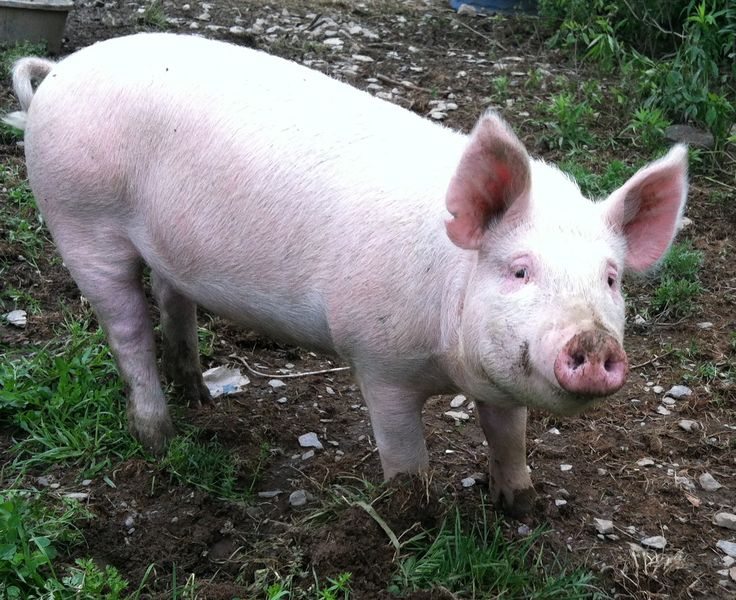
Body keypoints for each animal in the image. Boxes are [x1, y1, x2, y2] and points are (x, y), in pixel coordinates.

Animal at [5, 34, 688, 516]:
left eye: (610, 279)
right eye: (519, 270)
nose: (593, 340)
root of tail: (58, 72)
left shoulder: (500, 380)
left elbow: (509, 436)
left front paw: (523, 509)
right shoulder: (378, 359)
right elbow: (404, 456)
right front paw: (414, 522)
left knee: (173, 299)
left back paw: (198, 396)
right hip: (79, 218)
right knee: (124, 328)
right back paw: (160, 439)